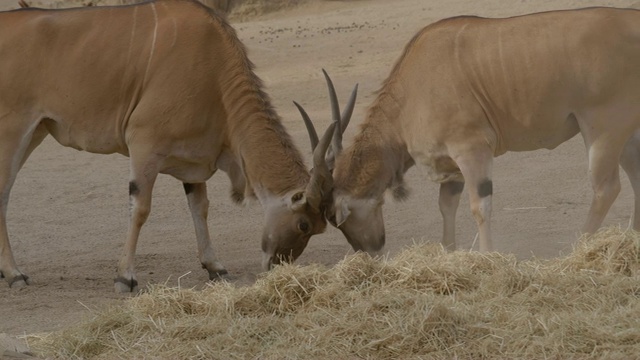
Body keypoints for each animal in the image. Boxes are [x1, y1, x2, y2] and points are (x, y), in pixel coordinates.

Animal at [0, 0, 338, 292]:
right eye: (304, 224)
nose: (277, 265)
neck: (213, 65)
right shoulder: (144, 144)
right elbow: (140, 208)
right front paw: (125, 277)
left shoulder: (194, 160)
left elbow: (200, 207)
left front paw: (215, 266)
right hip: (14, 132)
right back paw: (15, 274)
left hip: (36, 132)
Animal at [298, 7, 640, 256]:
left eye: (335, 218)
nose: (369, 251)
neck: (412, 87)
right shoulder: (452, 167)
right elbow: (446, 207)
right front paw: (449, 255)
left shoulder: (472, 150)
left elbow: (480, 206)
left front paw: (488, 258)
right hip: (625, 135)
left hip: (602, 130)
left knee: (606, 188)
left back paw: (576, 249)